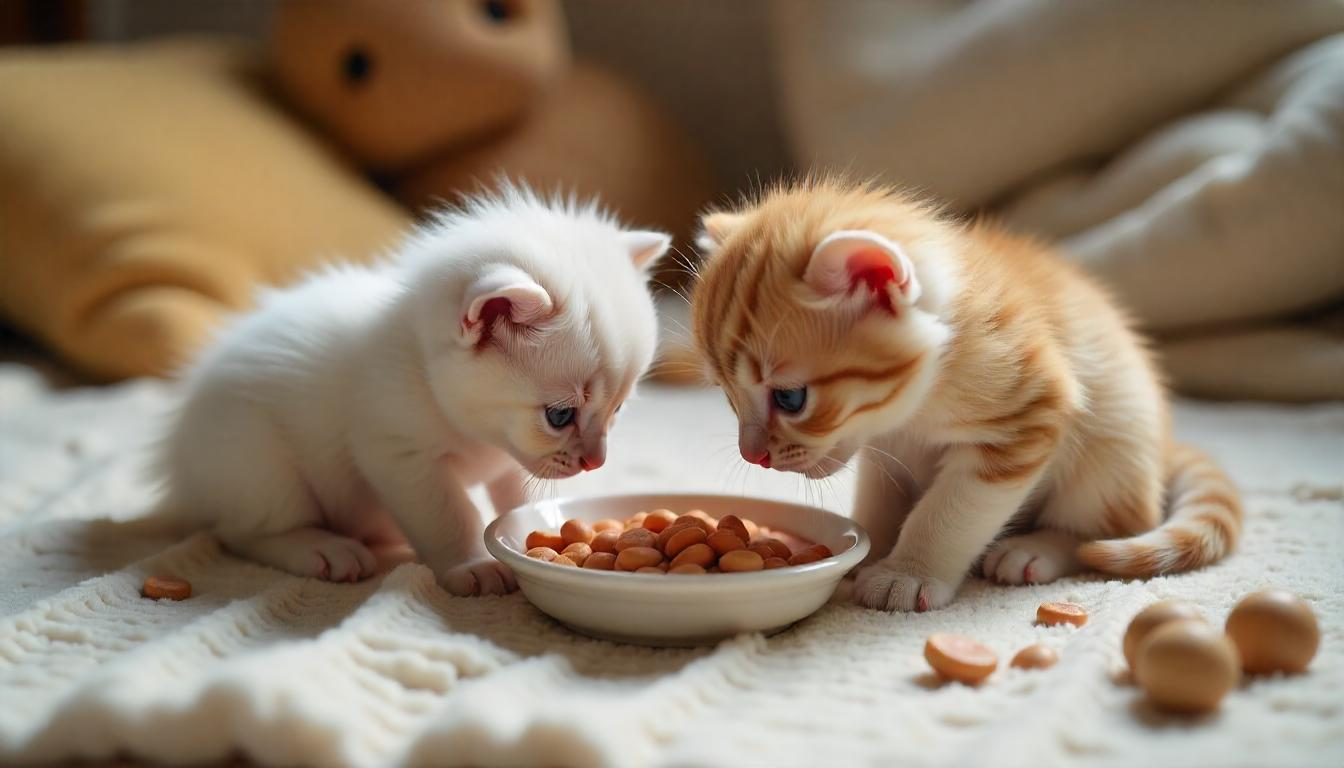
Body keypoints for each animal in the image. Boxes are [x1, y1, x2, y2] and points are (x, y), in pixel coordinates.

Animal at [154, 186, 669, 594]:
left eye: (618, 409)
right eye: (559, 416)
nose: (596, 462)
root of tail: (182, 470)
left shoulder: (510, 461)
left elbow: (517, 498)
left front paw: (540, 529)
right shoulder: (399, 454)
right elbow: (448, 512)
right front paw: (470, 565)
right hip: (255, 461)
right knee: (240, 532)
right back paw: (322, 549)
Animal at [693, 178, 1236, 613]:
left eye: (790, 399)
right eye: (727, 395)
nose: (754, 455)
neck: (919, 401)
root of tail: (1165, 447)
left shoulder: (1029, 409)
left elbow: (952, 508)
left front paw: (907, 572)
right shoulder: (885, 447)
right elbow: (882, 496)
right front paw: (870, 548)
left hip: (1114, 448)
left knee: (1108, 525)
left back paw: (1036, 548)